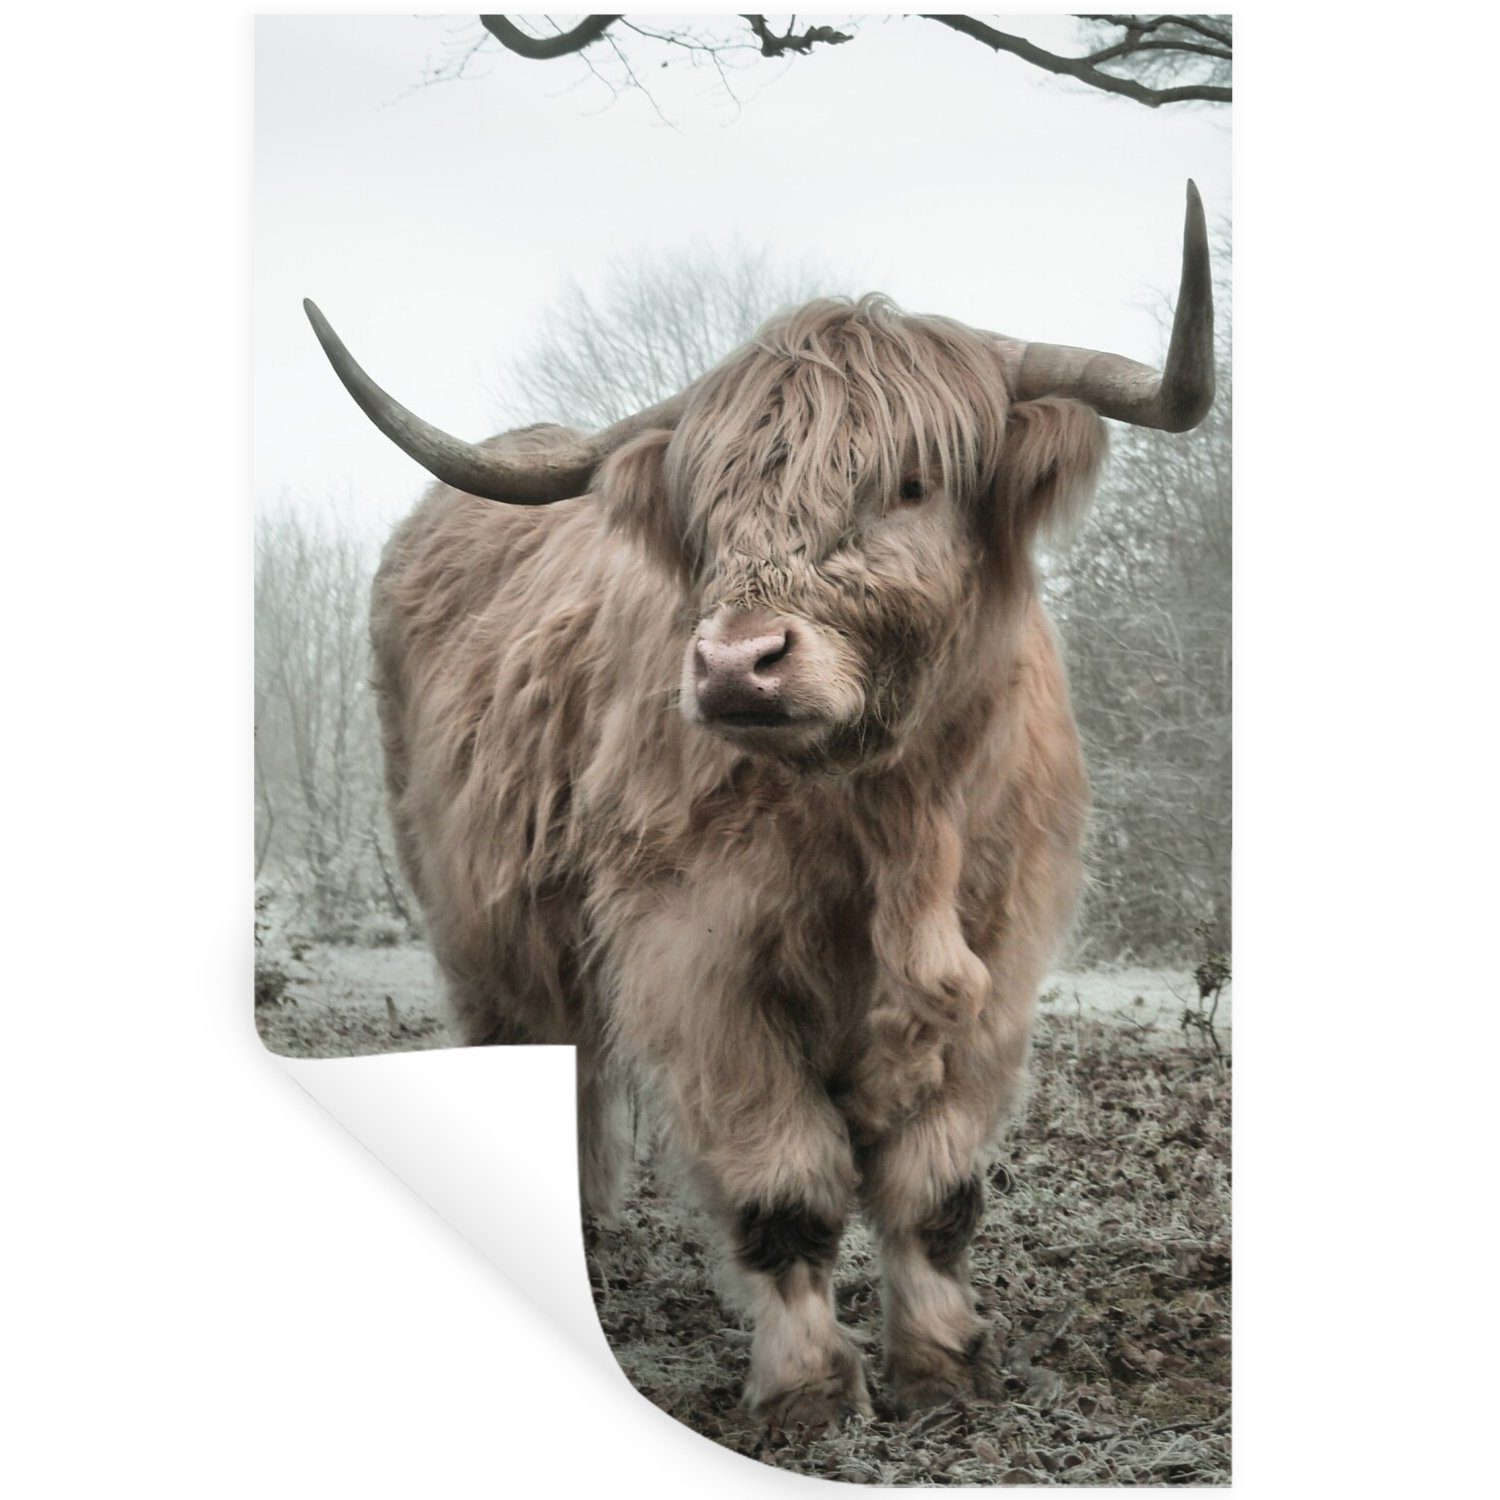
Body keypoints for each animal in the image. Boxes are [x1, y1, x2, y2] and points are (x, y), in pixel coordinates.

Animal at [304, 182, 1214, 1429]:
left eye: (911, 484)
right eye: (710, 509)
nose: (738, 664)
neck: (893, 818)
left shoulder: (1002, 960)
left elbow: (936, 1189)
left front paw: (944, 1364)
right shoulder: (699, 960)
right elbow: (786, 1185)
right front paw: (810, 1390)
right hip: (477, 917)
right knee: (544, 1049)